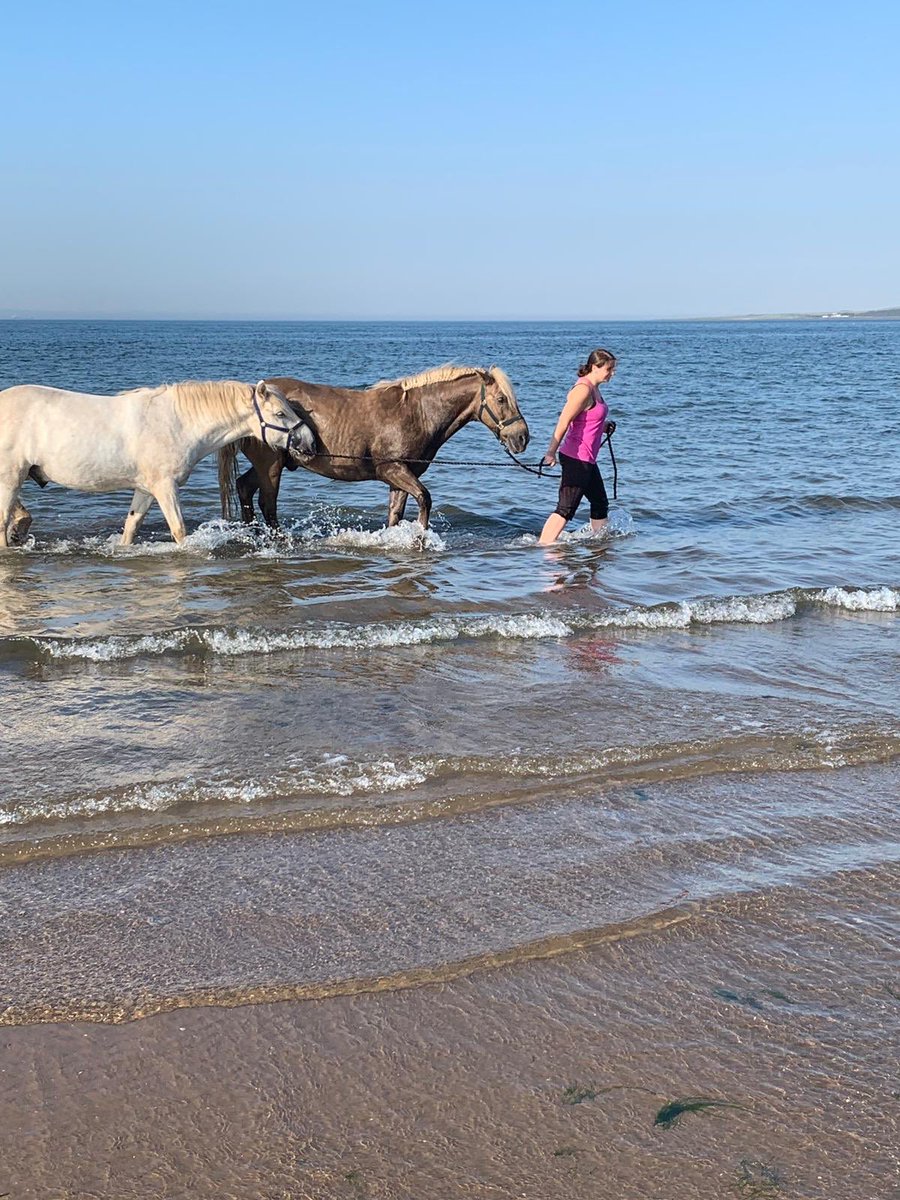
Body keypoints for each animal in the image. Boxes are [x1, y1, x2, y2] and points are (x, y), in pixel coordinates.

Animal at [0, 379, 315, 547]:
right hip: (10, 477)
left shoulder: (146, 489)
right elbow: (179, 530)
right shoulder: (165, 487)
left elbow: (131, 526)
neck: (178, 422)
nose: (309, 442)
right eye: (280, 413)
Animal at [222, 364, 530, 530]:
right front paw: (421, 536)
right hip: (271, 465)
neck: (416, 412)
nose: (522, 438)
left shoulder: (401, 476)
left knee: (245, 488)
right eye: (501, 399)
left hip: (272, 464)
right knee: (267, 504)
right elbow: (425, 499)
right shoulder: (392, 469)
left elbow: (396, 513)